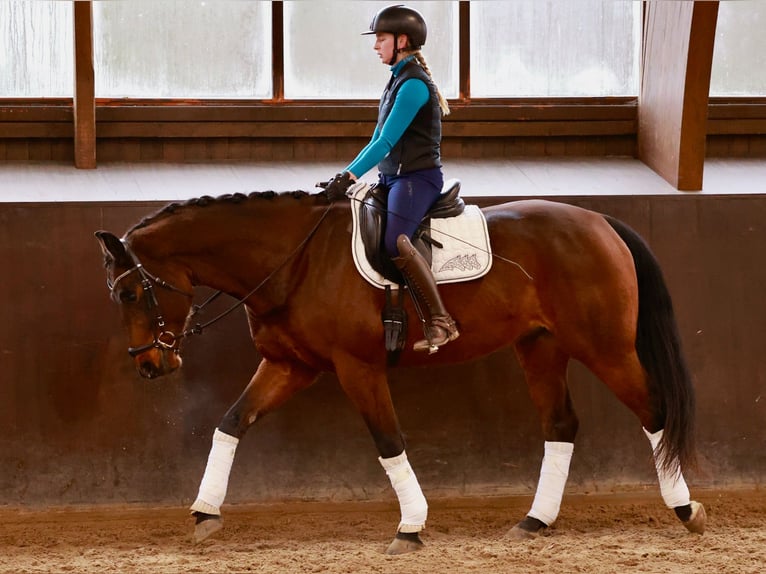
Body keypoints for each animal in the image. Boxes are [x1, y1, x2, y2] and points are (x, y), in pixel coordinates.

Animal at [96, 187, 708, 556]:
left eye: (129, 293)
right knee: (560, 426)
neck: (294, 260)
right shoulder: (292, 364)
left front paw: (410, 526)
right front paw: (205, 512)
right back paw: (535, 521)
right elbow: (231, 423)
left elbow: (388, 441)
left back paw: (685, 508)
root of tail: (599, 220)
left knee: (654, 410)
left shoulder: (356, 367)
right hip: (541, 347)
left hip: (605, 347)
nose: (149, 364)